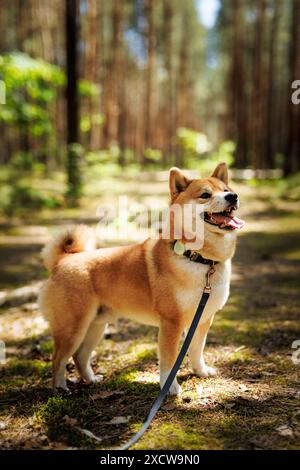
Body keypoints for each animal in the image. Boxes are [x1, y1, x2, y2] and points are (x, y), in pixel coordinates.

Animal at [39, 163, 244, 394]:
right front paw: (169, 387)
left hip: (96, 325)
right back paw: (60, 388)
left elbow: (196, 350)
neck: (201, 260)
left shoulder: (202, 319)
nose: (233, 196)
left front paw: (200, 371)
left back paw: (91, 380)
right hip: (72, 328)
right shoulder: (171, 323)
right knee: (58, 359)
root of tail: (62, 260)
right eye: (205, 195)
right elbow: (169, 360)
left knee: (80, 356)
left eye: (226, 189)